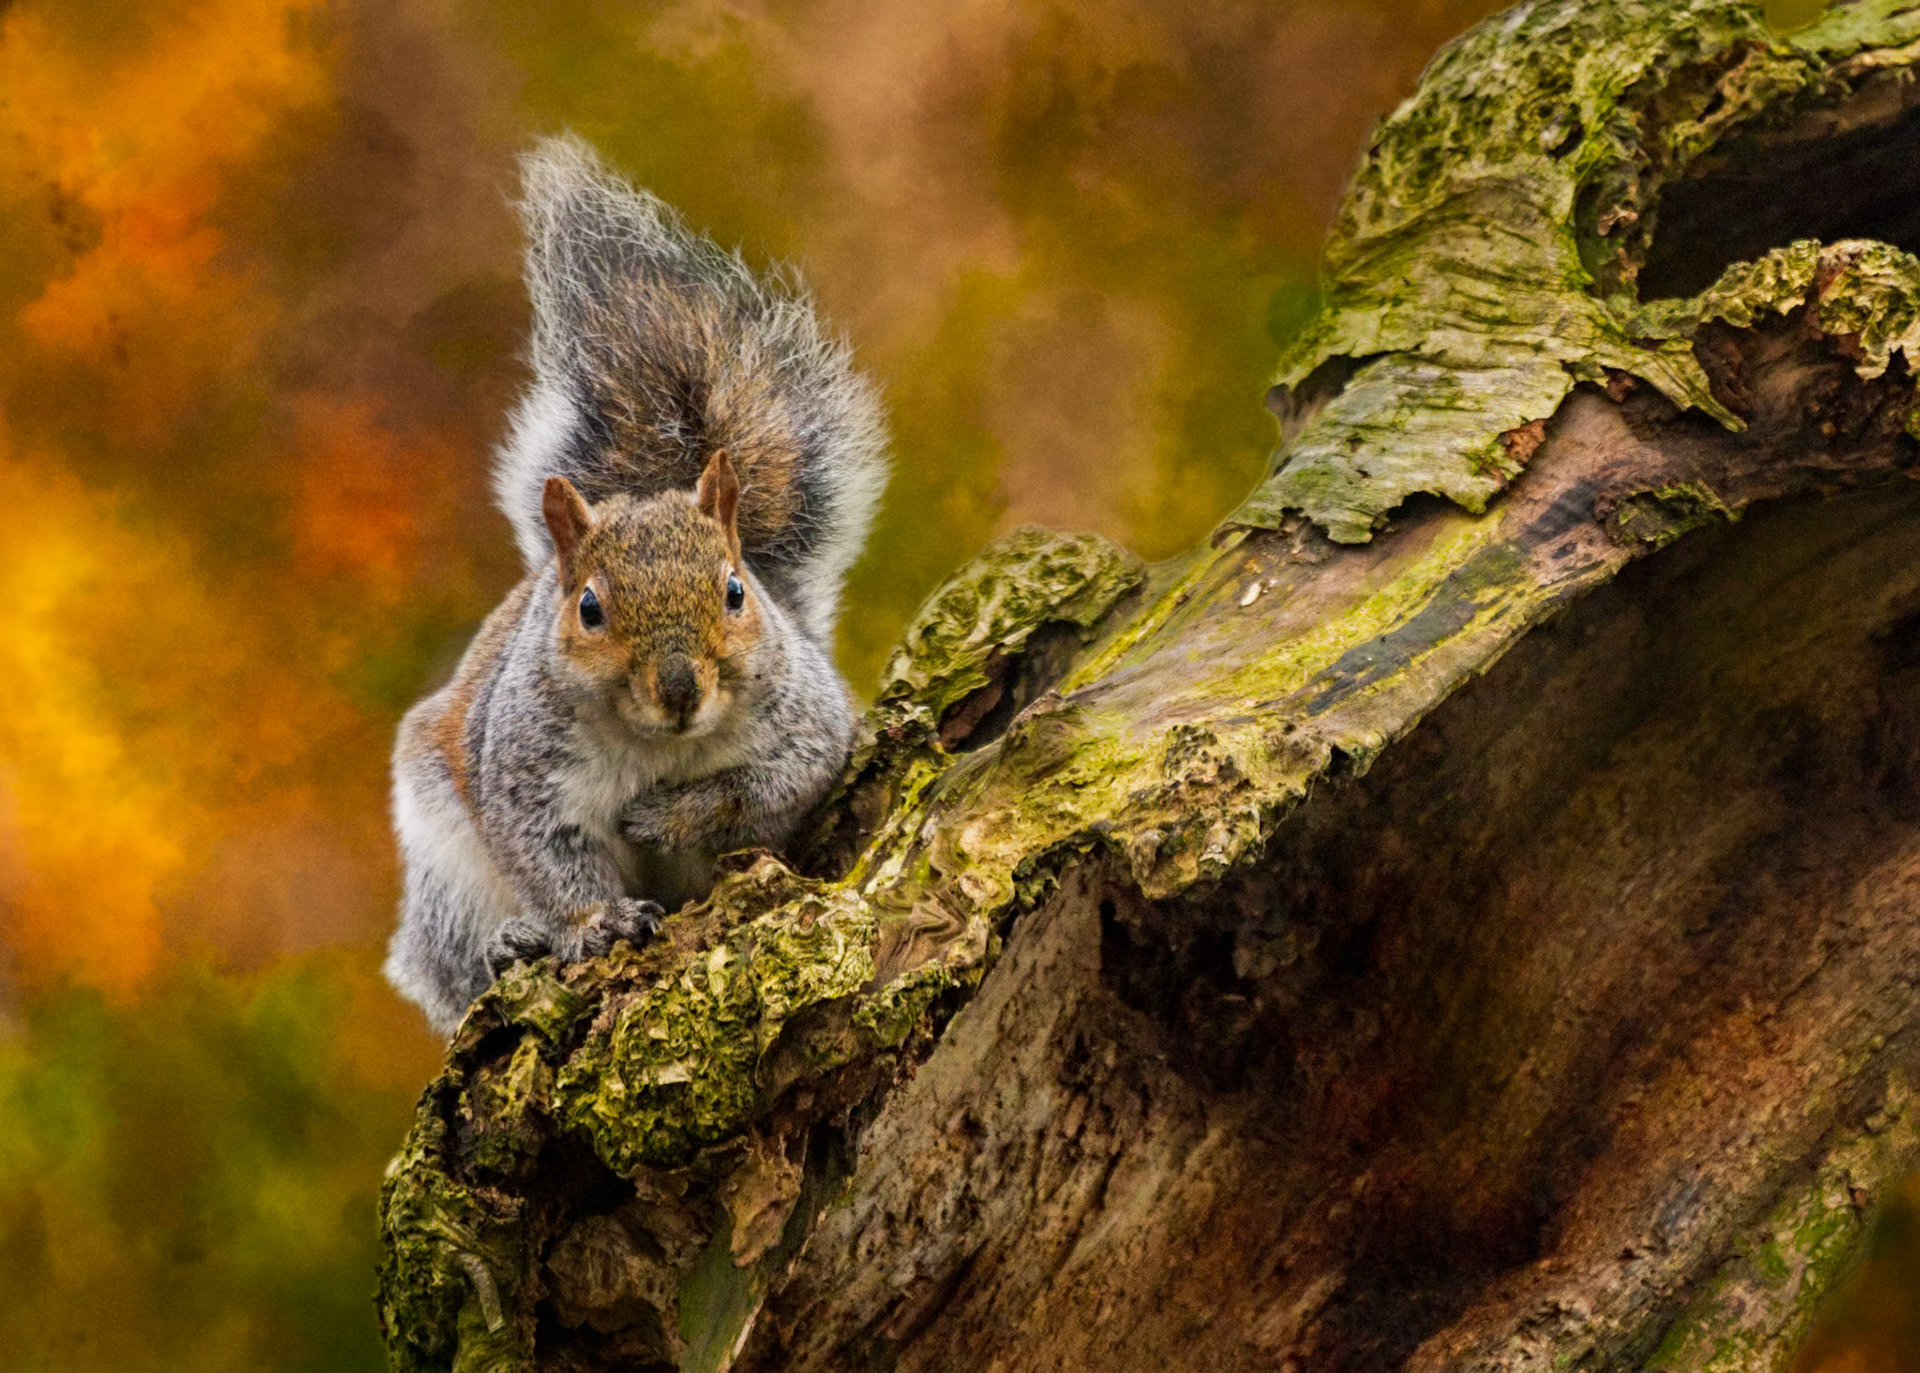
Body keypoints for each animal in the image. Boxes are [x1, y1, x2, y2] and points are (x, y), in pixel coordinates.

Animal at [384, 136, 888, 1034]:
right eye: (588, 607)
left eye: (735, 592)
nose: (681, 687)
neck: (661, 744)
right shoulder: (525, 773)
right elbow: (550, 856)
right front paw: (596, 922)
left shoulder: (808, 726)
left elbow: (767, 784)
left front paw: (670, 812)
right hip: (448, 872)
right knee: (453, 968)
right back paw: (510, 943)